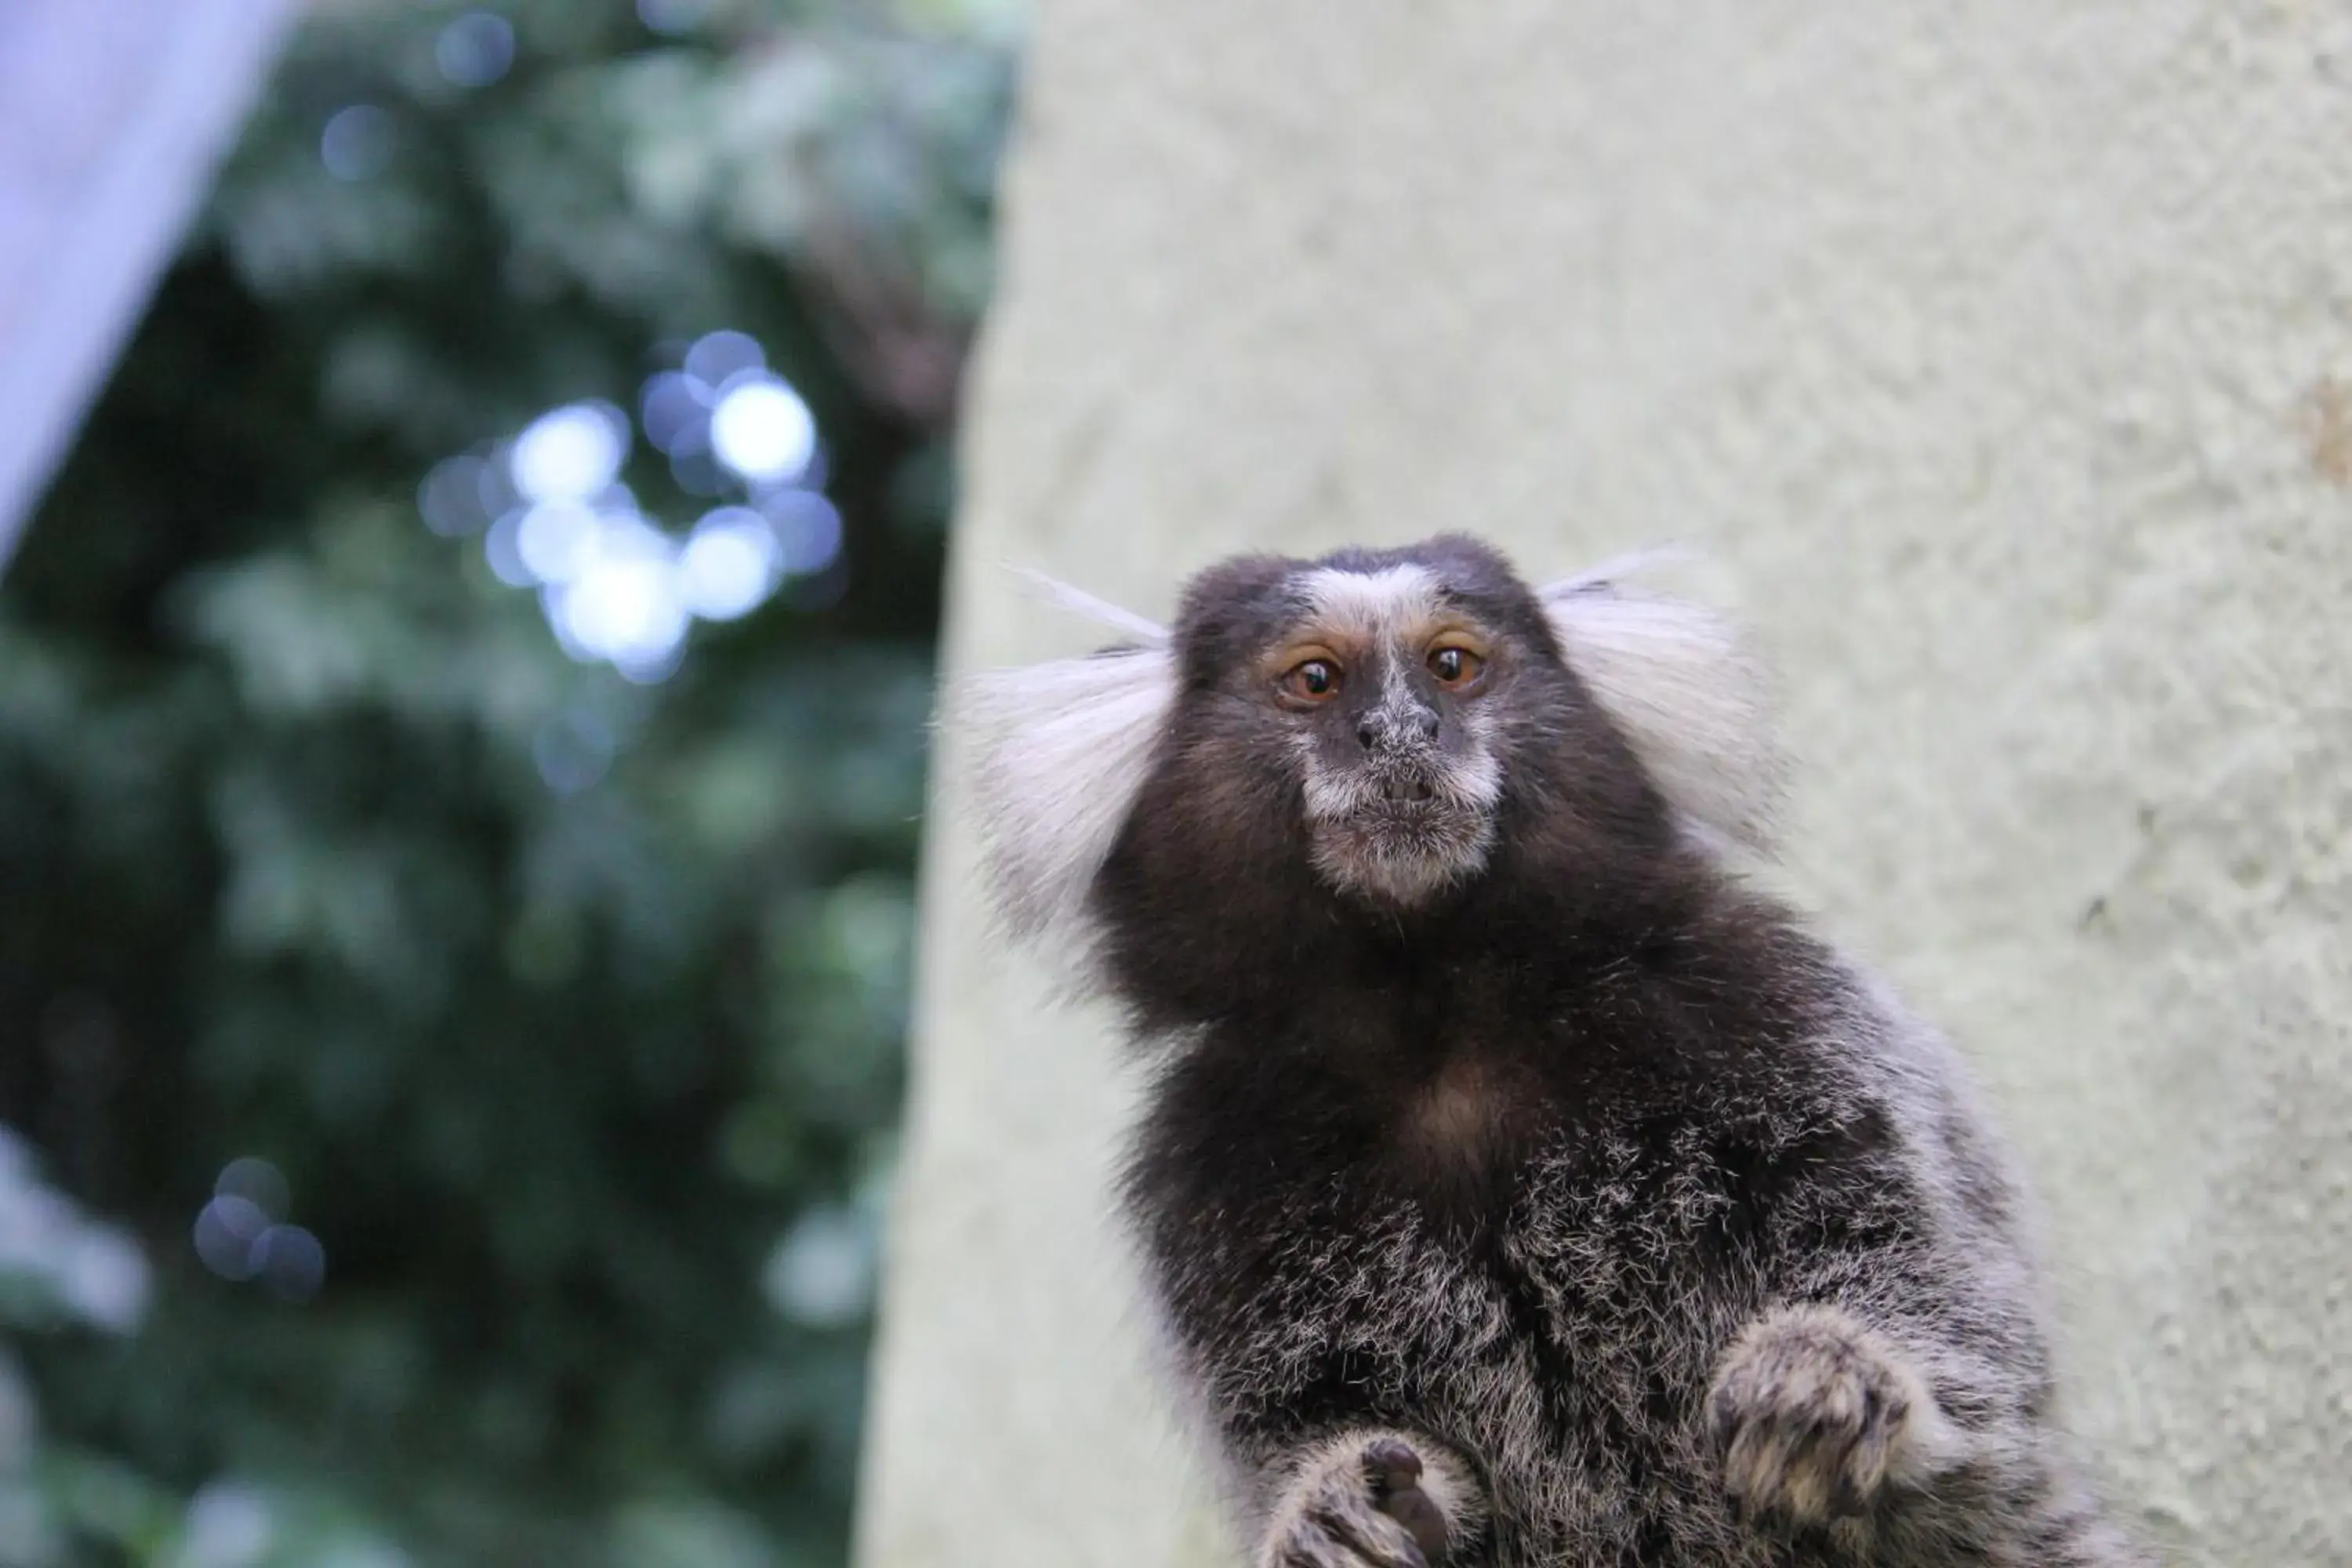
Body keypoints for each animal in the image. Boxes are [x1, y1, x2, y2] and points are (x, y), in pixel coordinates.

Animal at [946, 540, 2145, 1568]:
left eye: (1453, 666)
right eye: (1317, 680)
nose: (1401, 733)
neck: (1437, 1015)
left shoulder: (1772, 1005)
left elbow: (1944, 1290)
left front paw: (1835, 1380)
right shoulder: (1208, 1173)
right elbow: (1295, 1416)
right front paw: (1330, 1506)